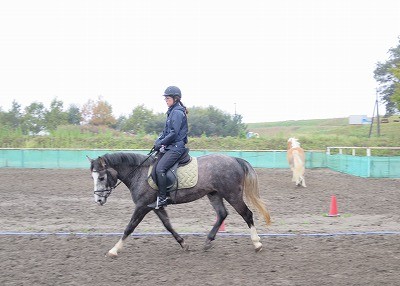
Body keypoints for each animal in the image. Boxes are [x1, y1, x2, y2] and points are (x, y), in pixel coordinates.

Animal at [87, 152, 272, 256]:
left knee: (247, 214)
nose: (98, 200)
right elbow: (168, 225)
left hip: (232, 194)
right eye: (93, 177)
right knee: (222, 214)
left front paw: (114, 250)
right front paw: (184, 244)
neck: (139, 173)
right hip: (214, 194)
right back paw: (208, 241)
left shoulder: (142, 206)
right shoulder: (155, 207)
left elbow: (129, 227)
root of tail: (234, 159)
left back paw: (257, 243)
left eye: (101, 177)